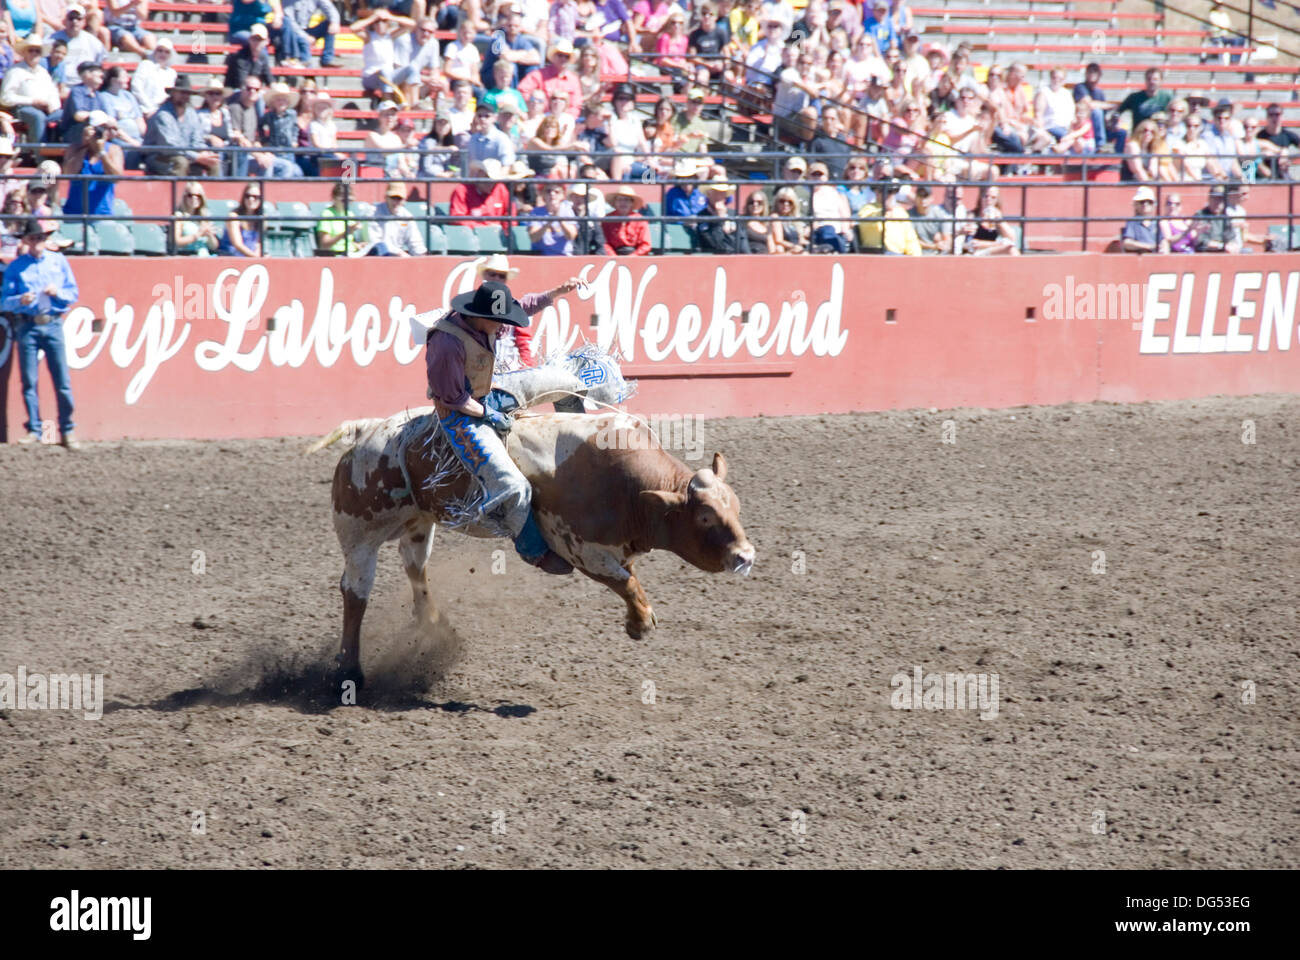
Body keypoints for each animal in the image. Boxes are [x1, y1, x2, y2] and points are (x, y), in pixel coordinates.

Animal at [317, 405, 754, 686]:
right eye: (704, 518)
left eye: (735, 505)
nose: (745, 557)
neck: (630, 488)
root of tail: (367, 431)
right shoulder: (580, 548)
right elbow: (624, 581)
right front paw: (640, 623)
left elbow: (628, 578)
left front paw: (638, 620)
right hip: (360, 533)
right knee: (355, 593)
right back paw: (349, 671)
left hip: (418, 524)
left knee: (414, 568)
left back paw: (434, 626)